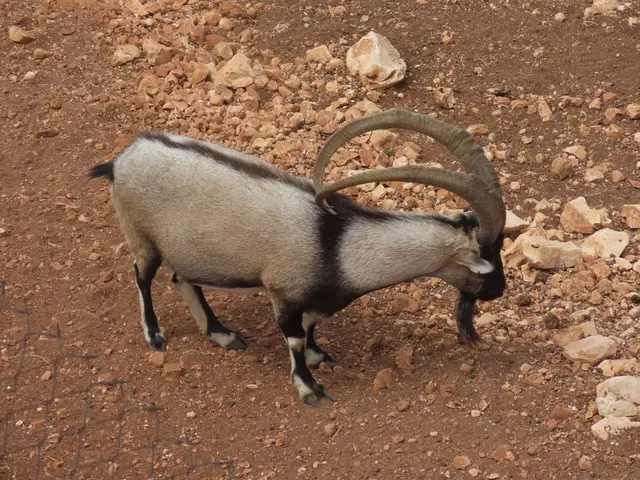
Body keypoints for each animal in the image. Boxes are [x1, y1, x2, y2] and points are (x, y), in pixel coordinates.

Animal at [88, 108, 506, 405]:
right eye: (486, 263)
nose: (499, 290)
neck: (338, 242)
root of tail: (120, 162)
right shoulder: (283, 293)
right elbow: (294, 340)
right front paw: (309, 388)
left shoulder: (312, 301)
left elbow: (310, 329)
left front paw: (320, 356)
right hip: (141, 237)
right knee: (142, 277)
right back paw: (155, 335)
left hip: (189, 250)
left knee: (182, 278)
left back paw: (221, 334)